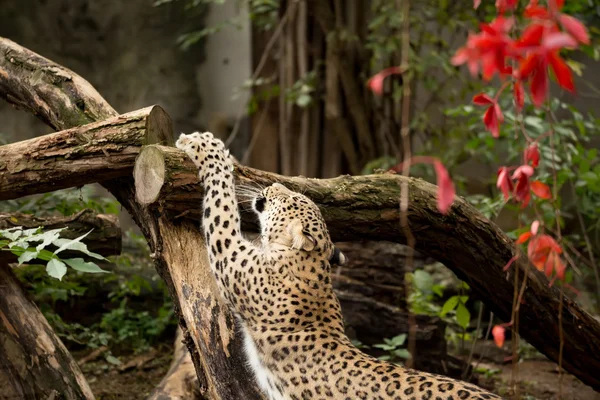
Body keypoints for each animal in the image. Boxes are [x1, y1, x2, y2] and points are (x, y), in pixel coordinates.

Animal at [176, 130, 504, 398]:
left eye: (291, 199)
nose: (276, 184)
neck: (313, 264)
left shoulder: (231, 255)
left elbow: (222, 201)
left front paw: (205, 146)